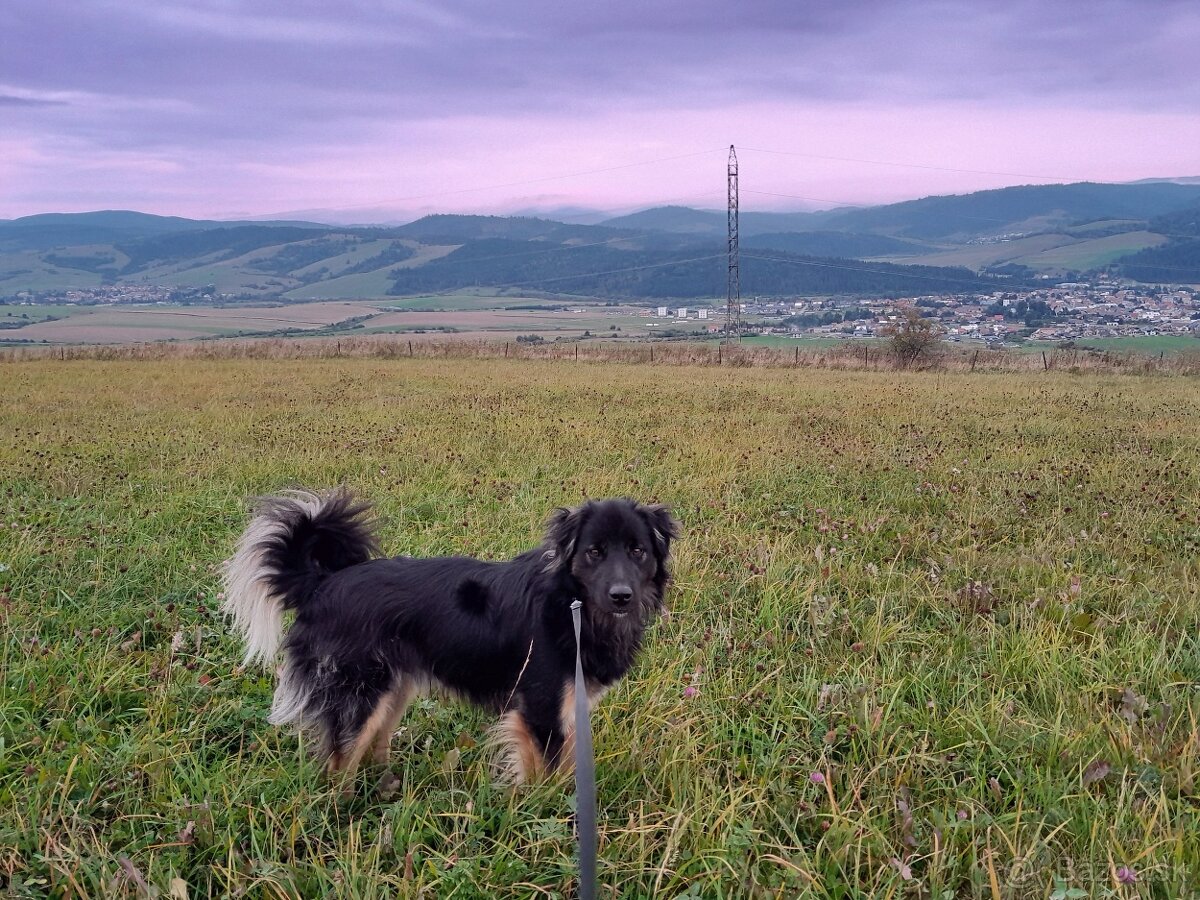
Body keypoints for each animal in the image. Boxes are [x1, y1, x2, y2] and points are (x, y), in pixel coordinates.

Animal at [220, 489, 681, 787]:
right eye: (594, 552)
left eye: (638, 551)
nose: (621, 595)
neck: (574, 605)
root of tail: (322, 584)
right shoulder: (541, 710)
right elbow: (546, 777)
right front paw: (546, 818)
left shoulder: (567, 711)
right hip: (360, 692)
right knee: (340, 764)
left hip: (394, 689)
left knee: (372, 746)